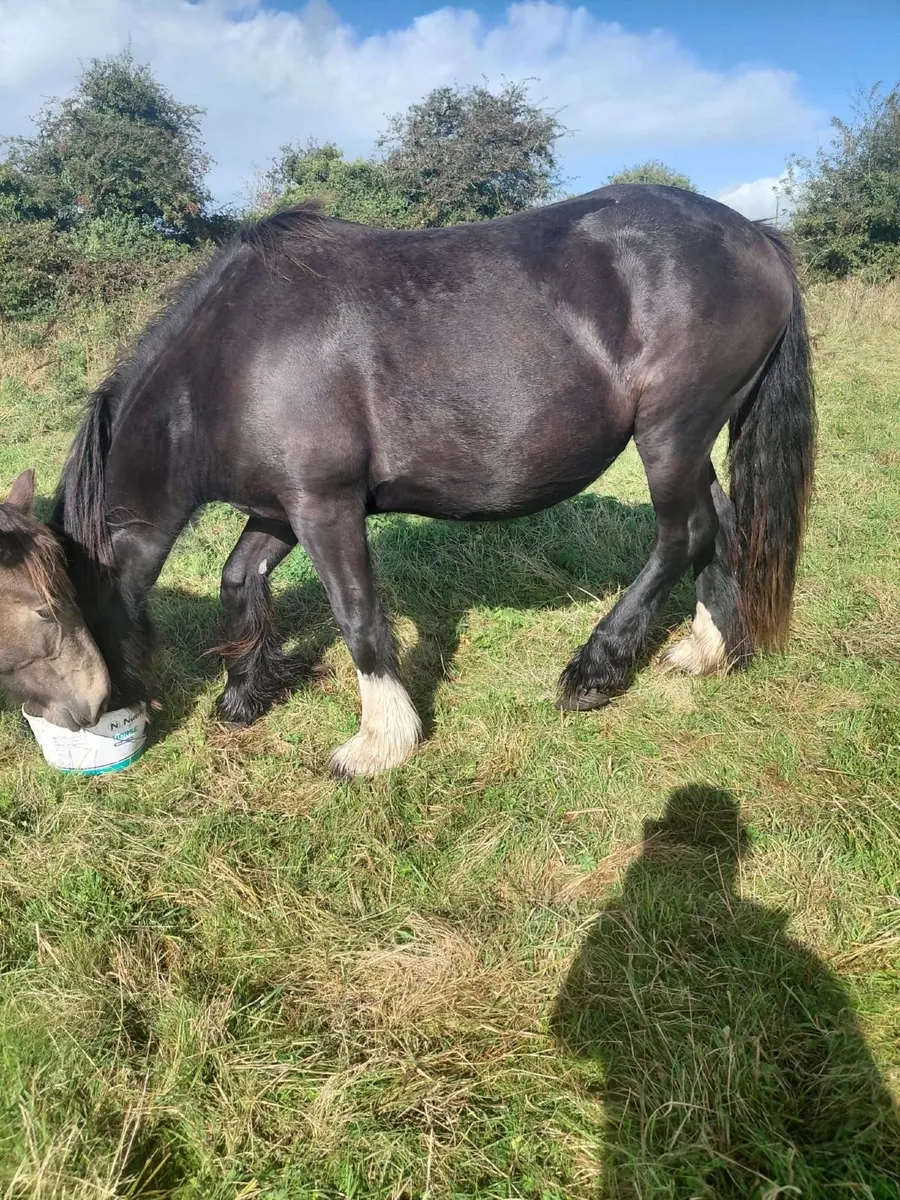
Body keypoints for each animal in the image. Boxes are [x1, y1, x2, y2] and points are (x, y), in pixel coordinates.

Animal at [52, 185, 815, 777]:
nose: (71, 724)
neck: (230, 363)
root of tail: (756, 235)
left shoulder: (325, 506)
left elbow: (357, 613)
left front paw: (379, 742)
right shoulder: (279, 508)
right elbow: (240, 580)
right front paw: (246, 693)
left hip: (671, 430)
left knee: (681, 532)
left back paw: (595, 669)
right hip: (692, 438)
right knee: (717, 521)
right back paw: (705, 650)